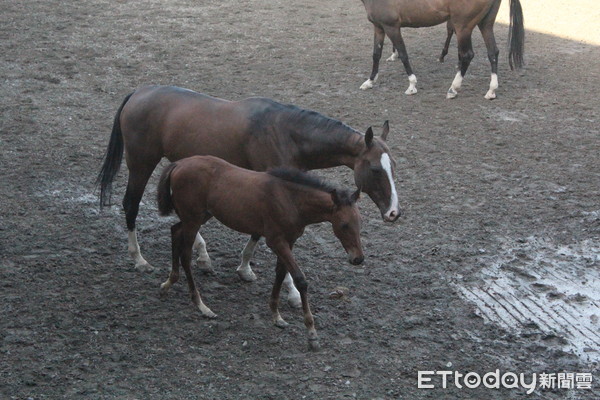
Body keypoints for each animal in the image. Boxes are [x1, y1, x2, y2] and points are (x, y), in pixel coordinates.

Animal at [96, 86, 400, 306]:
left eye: (393, 166)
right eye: (375, 169)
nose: (394, 212)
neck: (288, 134)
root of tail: (138, 93)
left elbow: (256, 231)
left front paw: (244, 268)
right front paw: (291, 291)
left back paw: (202, 254)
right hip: (141, 164)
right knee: (130, 204)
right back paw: (139, 259)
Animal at [157, 155, 364, 350]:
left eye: (359, 222)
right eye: (344, 225)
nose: (358, 259)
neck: (291, 200)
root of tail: (179, 164)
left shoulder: (289, 240)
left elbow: (280, 273)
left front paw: (276, 316)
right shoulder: (276, 241)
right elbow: (300, 279)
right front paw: (311, 334)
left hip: (199, 216)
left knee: (175, 232)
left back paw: (168, 283)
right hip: (193, 219)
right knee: (185, 255)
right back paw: (201, 305)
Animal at [358, 0, 524, 99]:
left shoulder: (392, 27)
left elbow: (403, 55)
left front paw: (412, 85)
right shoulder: (379, 27)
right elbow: (376, 54)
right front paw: (370, 81)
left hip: (463, 26)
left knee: (467, 55)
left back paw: (453, 88)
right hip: (485, 24)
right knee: (493, 53)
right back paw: (491, 90)